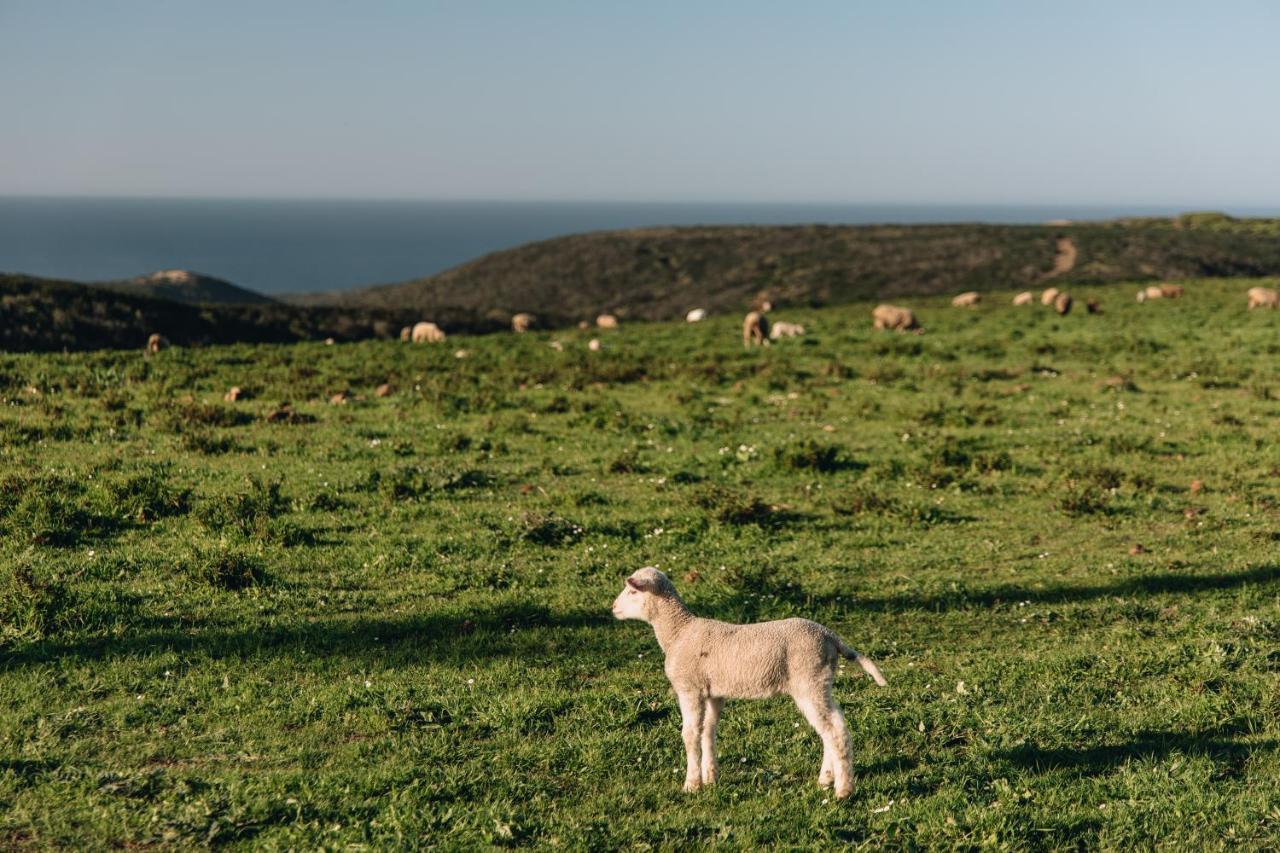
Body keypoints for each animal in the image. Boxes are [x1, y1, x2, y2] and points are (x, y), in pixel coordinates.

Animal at [614, 563, 885, 799]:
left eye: (633, 591)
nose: (613, 607)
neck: (679, 633)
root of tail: (830, 636)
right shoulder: (714, 692)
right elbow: (708, 730)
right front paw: (710, 777)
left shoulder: (689, 688)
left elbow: (690, 735)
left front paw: (692, 785)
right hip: (821, 681)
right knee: (833, 724)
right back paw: (827, 779)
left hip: (809, 680)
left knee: (833, 730)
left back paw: (843, 790)